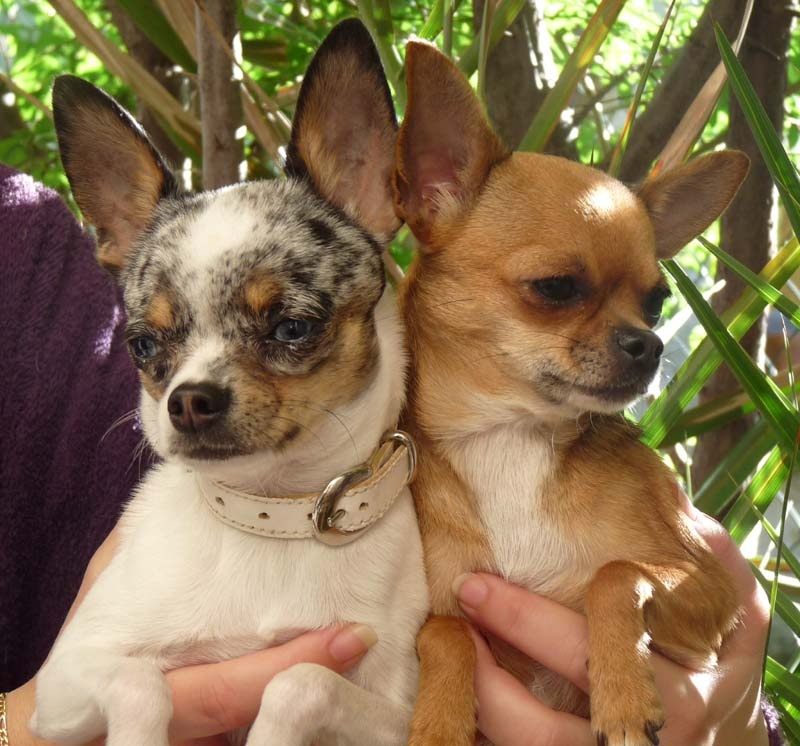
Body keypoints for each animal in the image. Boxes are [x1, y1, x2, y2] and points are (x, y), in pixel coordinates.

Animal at [31, 20, 427, 746]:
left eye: (293, 327)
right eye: (143, 345)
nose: (188, 401)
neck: (272, 516)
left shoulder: (396, 711)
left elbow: (298, 679)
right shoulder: (63, 683)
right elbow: (141, 682)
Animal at [394, 41, 748, 746]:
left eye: (657, 301)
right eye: (556, 287)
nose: (650, 344)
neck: (511, 436)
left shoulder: (711, 589)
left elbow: (615, 574)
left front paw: (623, 696)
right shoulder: (445, 604)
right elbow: (444, 632)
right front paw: (439, 721)